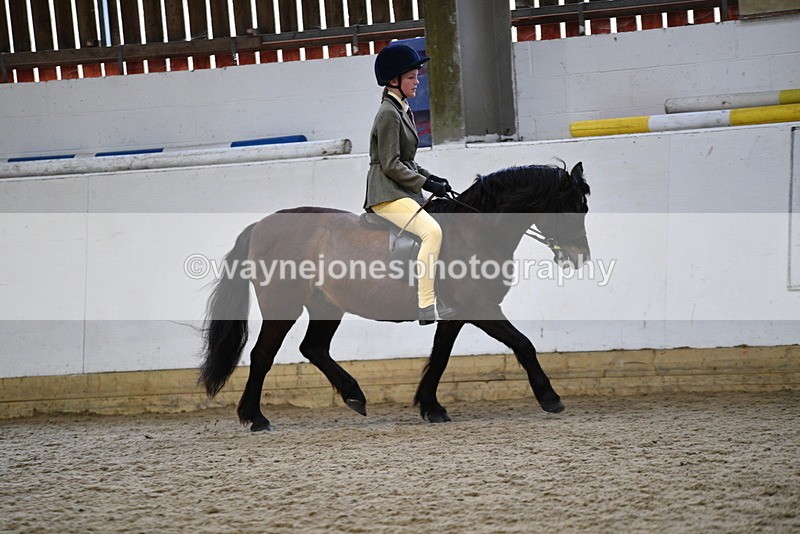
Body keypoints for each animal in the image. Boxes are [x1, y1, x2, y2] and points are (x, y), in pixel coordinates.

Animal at [199, 162, 591, 431]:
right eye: (571, 209)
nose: (580, 257)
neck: (473, 231)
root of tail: (261, 225)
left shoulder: (456, 313)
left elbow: (440, 357)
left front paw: (431, 407)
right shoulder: (480, 308)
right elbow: (523, 344)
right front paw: (551, 399)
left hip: (326, 306)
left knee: (314, 348)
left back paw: (354, 396)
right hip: (283, 306)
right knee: (263, 355)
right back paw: (256, 418)